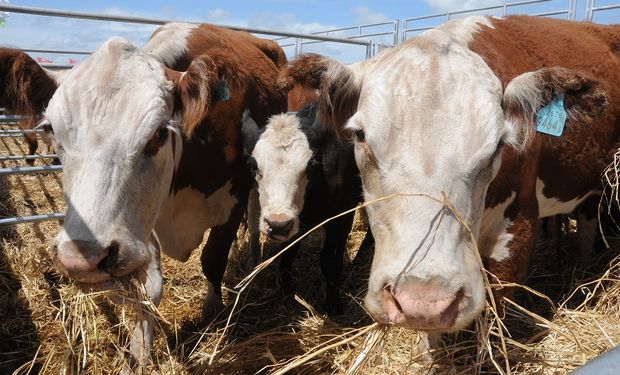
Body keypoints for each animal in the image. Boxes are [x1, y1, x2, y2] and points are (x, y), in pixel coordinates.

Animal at [0, 22, 286, 366]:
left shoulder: (232, 202)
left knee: (256, 214)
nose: (81, 260)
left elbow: (212, 261)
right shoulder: (138, 225)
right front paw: (141, 348)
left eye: (160, 133)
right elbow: (150, 289)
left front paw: (212, 314)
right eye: (51, 129)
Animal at [241, 102, 368, 314]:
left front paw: (333, 304)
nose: (277, 224)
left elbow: (331, 260)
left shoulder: (342, 213)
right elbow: (288, 252)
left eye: (310, 166)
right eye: (253, 166)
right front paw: (285, 288)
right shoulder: (296, 221)